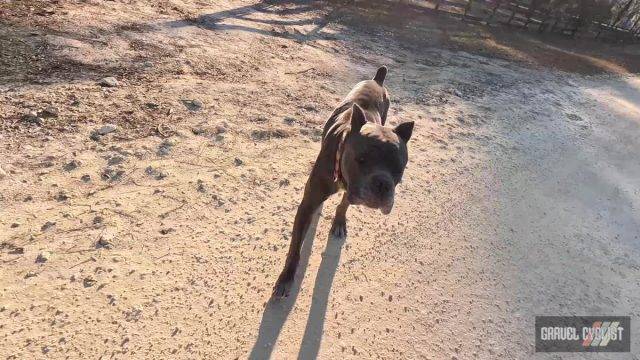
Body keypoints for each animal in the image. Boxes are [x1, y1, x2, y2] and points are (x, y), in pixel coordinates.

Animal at [272, 66, 412, 296]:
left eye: (398, 169)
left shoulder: (351, 190)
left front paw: (339, 221)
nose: (382, 184)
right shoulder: (307, 204)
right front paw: (286, 277)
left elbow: (344, 204)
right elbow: (295, 248)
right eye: (361, 159)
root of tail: (377, 79)